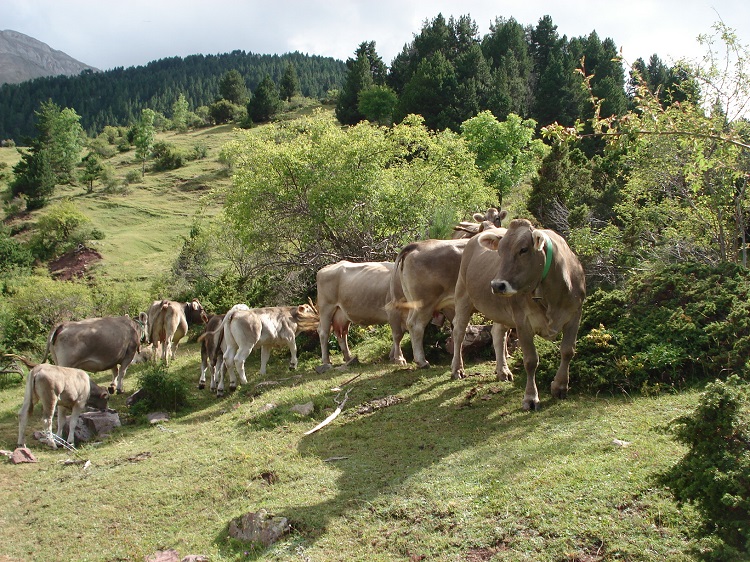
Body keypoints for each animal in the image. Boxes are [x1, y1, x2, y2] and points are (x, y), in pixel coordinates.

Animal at [450, 219, 586, 411]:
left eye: (523, 249)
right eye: (499, 252)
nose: (497, 285)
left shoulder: (575, 313)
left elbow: (568, 351)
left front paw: (560, 387)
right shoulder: (523, 321)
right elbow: (530, 361)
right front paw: (531, 398)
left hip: (502, 311)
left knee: (497, 334)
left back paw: (503, 371)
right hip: (462, 295)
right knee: (459, 332)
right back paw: (457, 369)